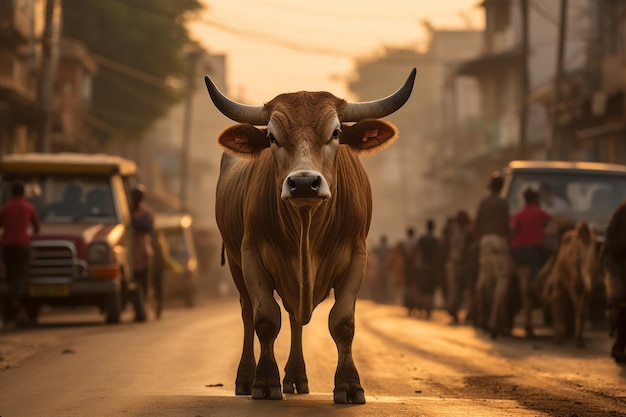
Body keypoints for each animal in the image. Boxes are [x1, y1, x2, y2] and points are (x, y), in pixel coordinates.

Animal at [204, 69, 414, 404]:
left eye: (336, 133)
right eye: (271, 137)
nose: (304, 183)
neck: (306, 228)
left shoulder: (358, 257)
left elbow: (342, 322)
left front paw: (349, 385)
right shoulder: (251, 256)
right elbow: (265, 319)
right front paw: (265, 382)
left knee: (294, 317)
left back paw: (296, 377)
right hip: (236, 264)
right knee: (249, 313)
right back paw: (247, 378)